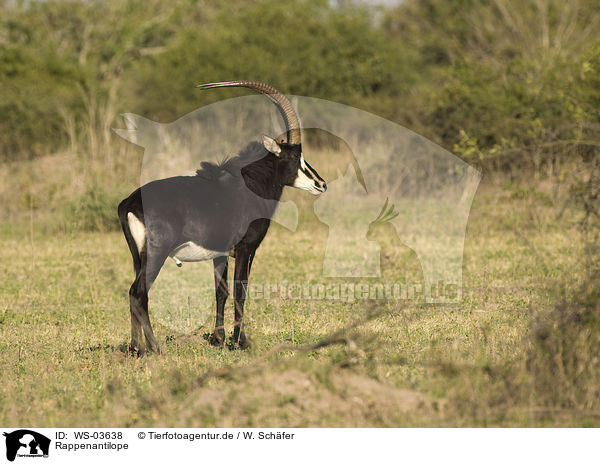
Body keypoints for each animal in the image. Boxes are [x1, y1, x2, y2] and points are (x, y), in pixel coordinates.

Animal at [118, 80, 328, 356]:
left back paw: (136, 348)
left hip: (137, 256)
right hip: (157, 252)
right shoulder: (246, 249)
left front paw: (219, 338)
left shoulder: (220, 253)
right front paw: (240, 341)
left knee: (136, 294)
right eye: (295, 156)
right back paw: (155, 348)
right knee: (138, 292)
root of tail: (129, 203)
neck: (249, 186)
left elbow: (221, 291)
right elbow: (241, 291)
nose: (321, 184)